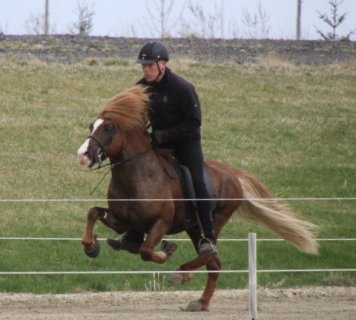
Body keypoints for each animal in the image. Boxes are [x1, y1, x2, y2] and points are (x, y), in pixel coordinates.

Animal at [77, 85, 318, 312]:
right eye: (91, 126)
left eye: (108, 128)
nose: (83, 155)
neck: (137, 174)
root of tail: (232, 173)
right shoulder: (123, 221)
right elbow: (93, 213)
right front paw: (91, 247)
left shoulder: (162, 223)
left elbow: (146, 251)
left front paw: (166, 252)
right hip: (194, 228)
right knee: (214, 264)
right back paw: (201, 302)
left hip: (215, 221)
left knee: (210, 253)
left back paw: (181, 273)